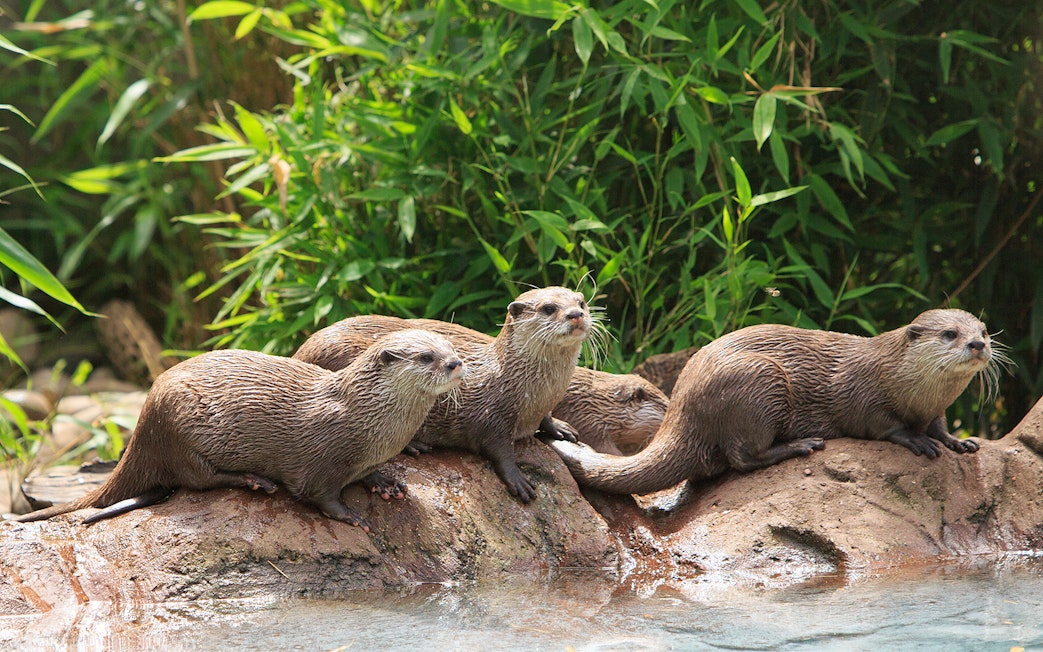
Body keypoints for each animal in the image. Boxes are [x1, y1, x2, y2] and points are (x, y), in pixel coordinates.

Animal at [15, 330, 463, 529]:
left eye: (451, 347)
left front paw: (385, 481)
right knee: (196, 480)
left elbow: (370, 473)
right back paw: (253, 480)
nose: (456, 363)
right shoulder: (323, 461)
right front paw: (352, 517)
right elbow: (318, 496)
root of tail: (144, 424)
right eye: (427, 356)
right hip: (180, 428)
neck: (370, 422)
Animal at [294, 287, 596, 503]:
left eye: (581, 302)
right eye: (549, 308)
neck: (529, 390)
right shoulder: (494, 416)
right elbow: (499, 450)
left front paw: (559, 426)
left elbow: (546, 419)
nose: (575, 314)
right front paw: (518, 479)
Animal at [542, 309, 1001, 496]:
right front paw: (917, 440)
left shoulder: (936, 408)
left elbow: (941, 424)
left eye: (982, 329)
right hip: (760, 383)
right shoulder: (862, 392)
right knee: (742, 457)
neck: (903, 381)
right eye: (949, 334)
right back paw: (799, 446)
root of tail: (683, 409)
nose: (978, 344)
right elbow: (883, 424)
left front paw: (959, 442)